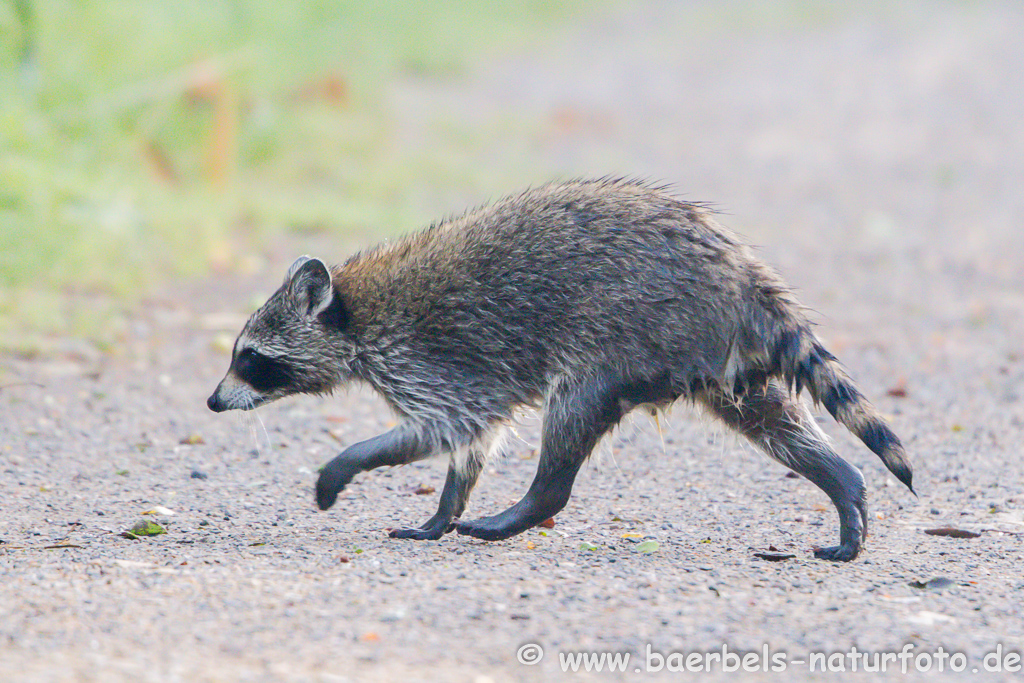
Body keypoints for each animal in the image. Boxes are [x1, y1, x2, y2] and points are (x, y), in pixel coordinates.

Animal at [205, 179, 913, 565]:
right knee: (769, 418)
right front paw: (440, 511)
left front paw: (345, 464)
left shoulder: (427, 359)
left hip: (628, 327)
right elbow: (472, 445)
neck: (352, 310)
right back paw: (843, 484)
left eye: (249, 358)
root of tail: (743, 274)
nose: (212, 403)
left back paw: (532, 502)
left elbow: (446, 429)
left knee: (574, 407)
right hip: (715, 353)